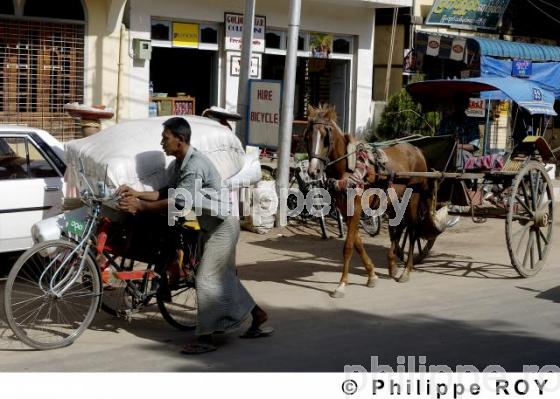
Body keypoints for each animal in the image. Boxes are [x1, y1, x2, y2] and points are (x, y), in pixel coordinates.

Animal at [306, 104, 434, 298]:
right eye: (308, 136)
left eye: (326, 138)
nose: (313, 171)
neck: (349, 167)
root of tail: (416, 150)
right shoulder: (345, 210)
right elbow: (358, 243)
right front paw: (372, 274)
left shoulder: (356, 207)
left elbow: (348, 246)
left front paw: (342, 284)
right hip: (393, 199)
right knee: (399, 227)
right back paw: (392, 264)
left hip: (413, 196)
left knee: (412, 229)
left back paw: (406, 271)